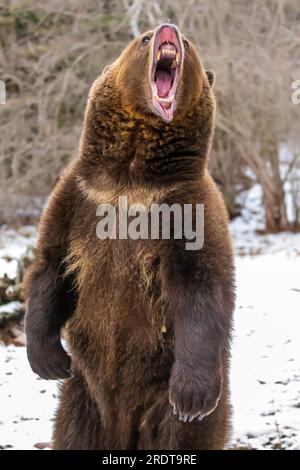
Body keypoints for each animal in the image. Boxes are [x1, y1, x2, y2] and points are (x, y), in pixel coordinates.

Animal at [24, 23, 236, 450]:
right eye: (144, 38)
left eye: (189, 44)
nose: (169, 28)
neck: (130, 177)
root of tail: (125, 425)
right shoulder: (78, 198)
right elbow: (51, 265)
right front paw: (49, 360)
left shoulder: (187, 207)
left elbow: (202, 284)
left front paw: (193, 395)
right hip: (83, 396)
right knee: (74, 433)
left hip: (160, 397)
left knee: (181, 436)